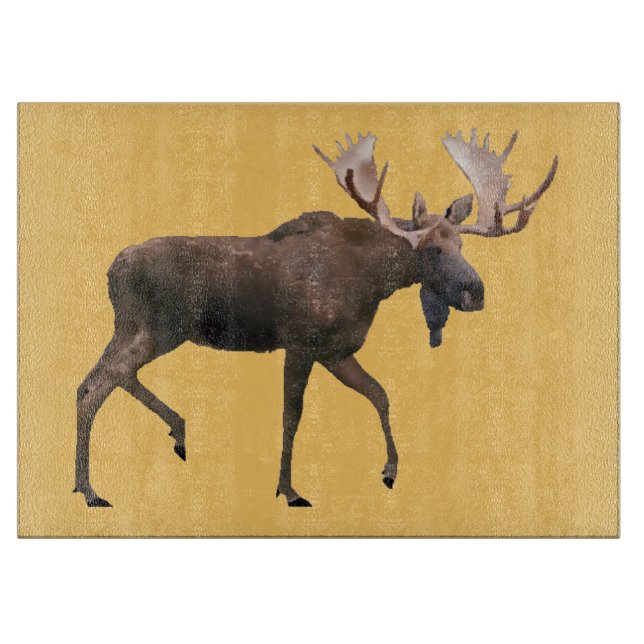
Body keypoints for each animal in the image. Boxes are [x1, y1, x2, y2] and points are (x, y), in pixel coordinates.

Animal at [74, 129, 558, 508]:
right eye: (433, 249)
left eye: (461, 244)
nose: (476, 293)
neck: (370, 282)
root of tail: (112, 268)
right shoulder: (301, 344)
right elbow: (292, 415)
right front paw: (289, 490)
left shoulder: (335, 351)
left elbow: (380, 394)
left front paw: (390, 469)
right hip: (155, 329)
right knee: (99, 384)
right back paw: (92, 489)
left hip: (139, 330)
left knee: (101, 379)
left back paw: (171, 436)